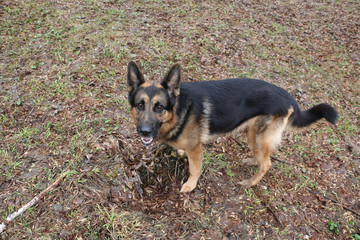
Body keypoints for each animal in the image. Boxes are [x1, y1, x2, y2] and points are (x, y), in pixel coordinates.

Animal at [126, 61, 338, 193]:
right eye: (140, 105)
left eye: (159, 107)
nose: (144, 131)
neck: (179, 110)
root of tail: (290, 99)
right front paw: (180, 153)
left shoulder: (196, 149)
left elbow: (195, 169)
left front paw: (190, 186)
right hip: (253, 134)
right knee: (264, 157)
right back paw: (252, 161)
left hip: (257, 135)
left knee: (267, 163)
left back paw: (250, 182)